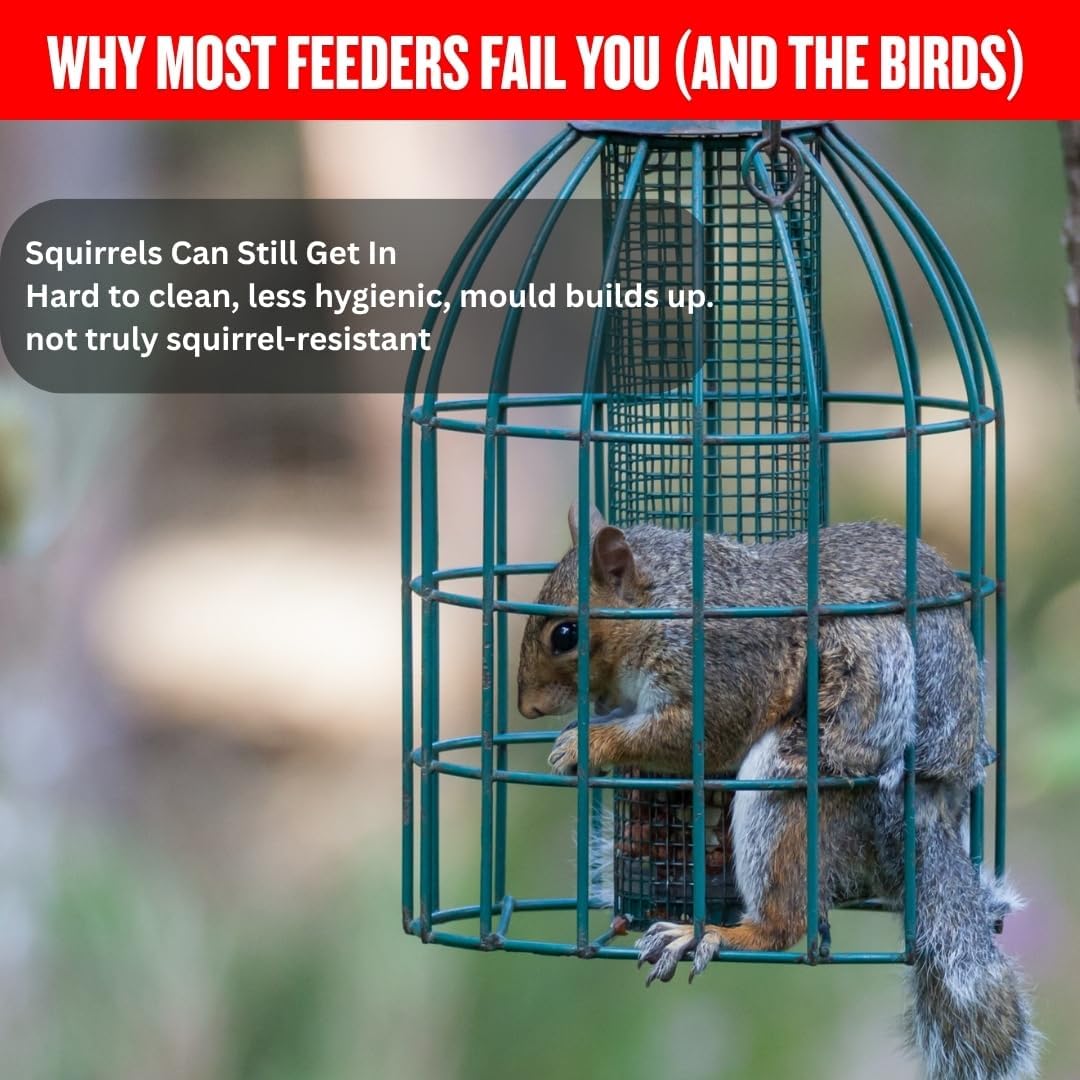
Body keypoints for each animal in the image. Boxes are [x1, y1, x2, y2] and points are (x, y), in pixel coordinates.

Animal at [517, 505, 1039, 1080]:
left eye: (565, 634)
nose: (526, 708)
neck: (664, 603)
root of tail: (924, 810)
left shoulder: (724, 667)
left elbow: (706, 735)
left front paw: (588, 743)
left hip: (793, 789)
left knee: (785, 923)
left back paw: (711, 934)